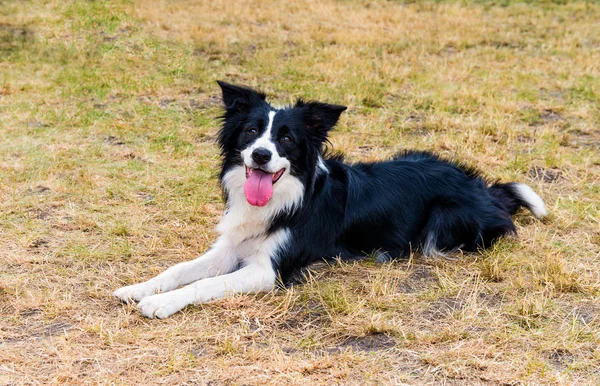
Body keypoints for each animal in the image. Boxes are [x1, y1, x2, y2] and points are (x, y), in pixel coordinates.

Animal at [113, 80, 548, 318]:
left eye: (287, 138)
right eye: (251, 131)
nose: (261, 155)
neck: (285, 197)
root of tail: (483, 188)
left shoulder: (268, 271)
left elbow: (205, 285)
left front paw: (161, 304)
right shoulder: (230, 247)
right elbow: (180, 270)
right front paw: (139, 288)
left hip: (442, 223)